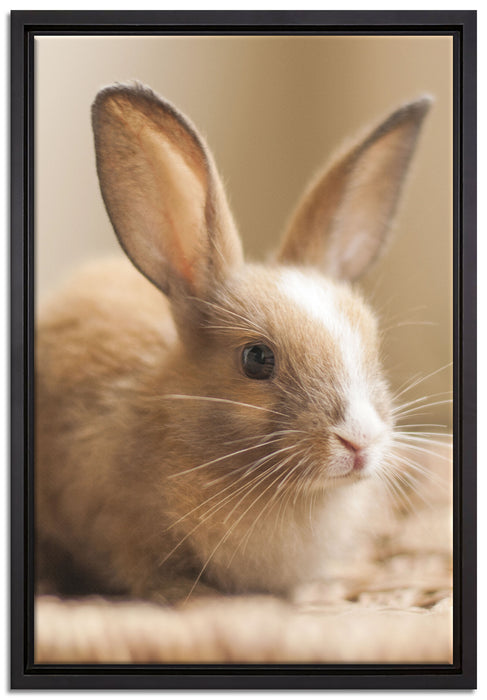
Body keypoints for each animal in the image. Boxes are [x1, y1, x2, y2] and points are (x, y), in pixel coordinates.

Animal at [35, 82, 431, 603]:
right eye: (256, 359)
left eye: (373, 345)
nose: (359, 440)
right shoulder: (118, 529)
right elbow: (146, 573)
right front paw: (192, 597)